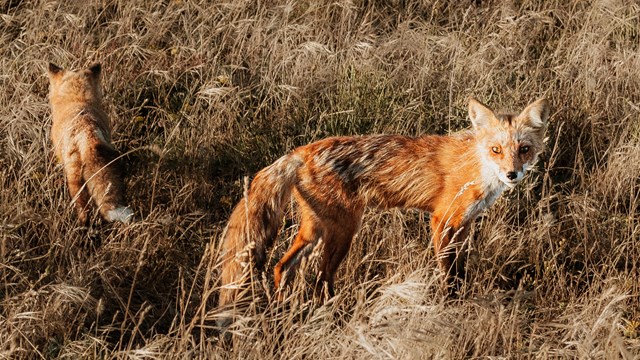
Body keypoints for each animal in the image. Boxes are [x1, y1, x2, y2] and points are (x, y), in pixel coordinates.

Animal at [219, 97, 552, 324]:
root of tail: (299, 152)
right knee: (320, 280)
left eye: (524, 149)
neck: (476, 166)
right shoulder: (442, 221)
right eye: (496, 150)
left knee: (281, 267)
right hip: (343, 231)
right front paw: (450, 306)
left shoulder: (464, 224)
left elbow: (460, 271)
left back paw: (282, 310)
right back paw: (332, 315)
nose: (512, 174)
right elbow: (448, 274)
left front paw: (463, 299)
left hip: (315, 229)